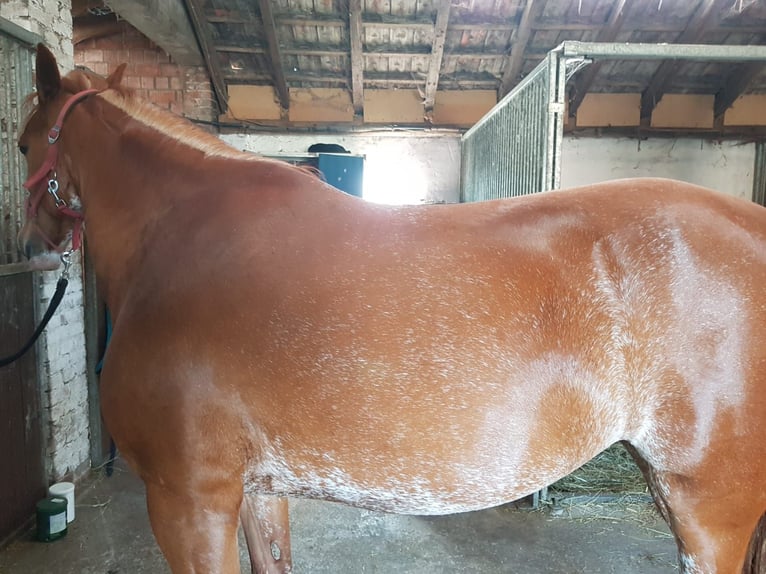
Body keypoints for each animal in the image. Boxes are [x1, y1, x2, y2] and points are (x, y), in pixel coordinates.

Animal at [17, 43, 766, 573]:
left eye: (22, 142)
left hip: (709, 506)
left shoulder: (189, 501)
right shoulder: (257, 491)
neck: (178, 237)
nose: (34, 245)